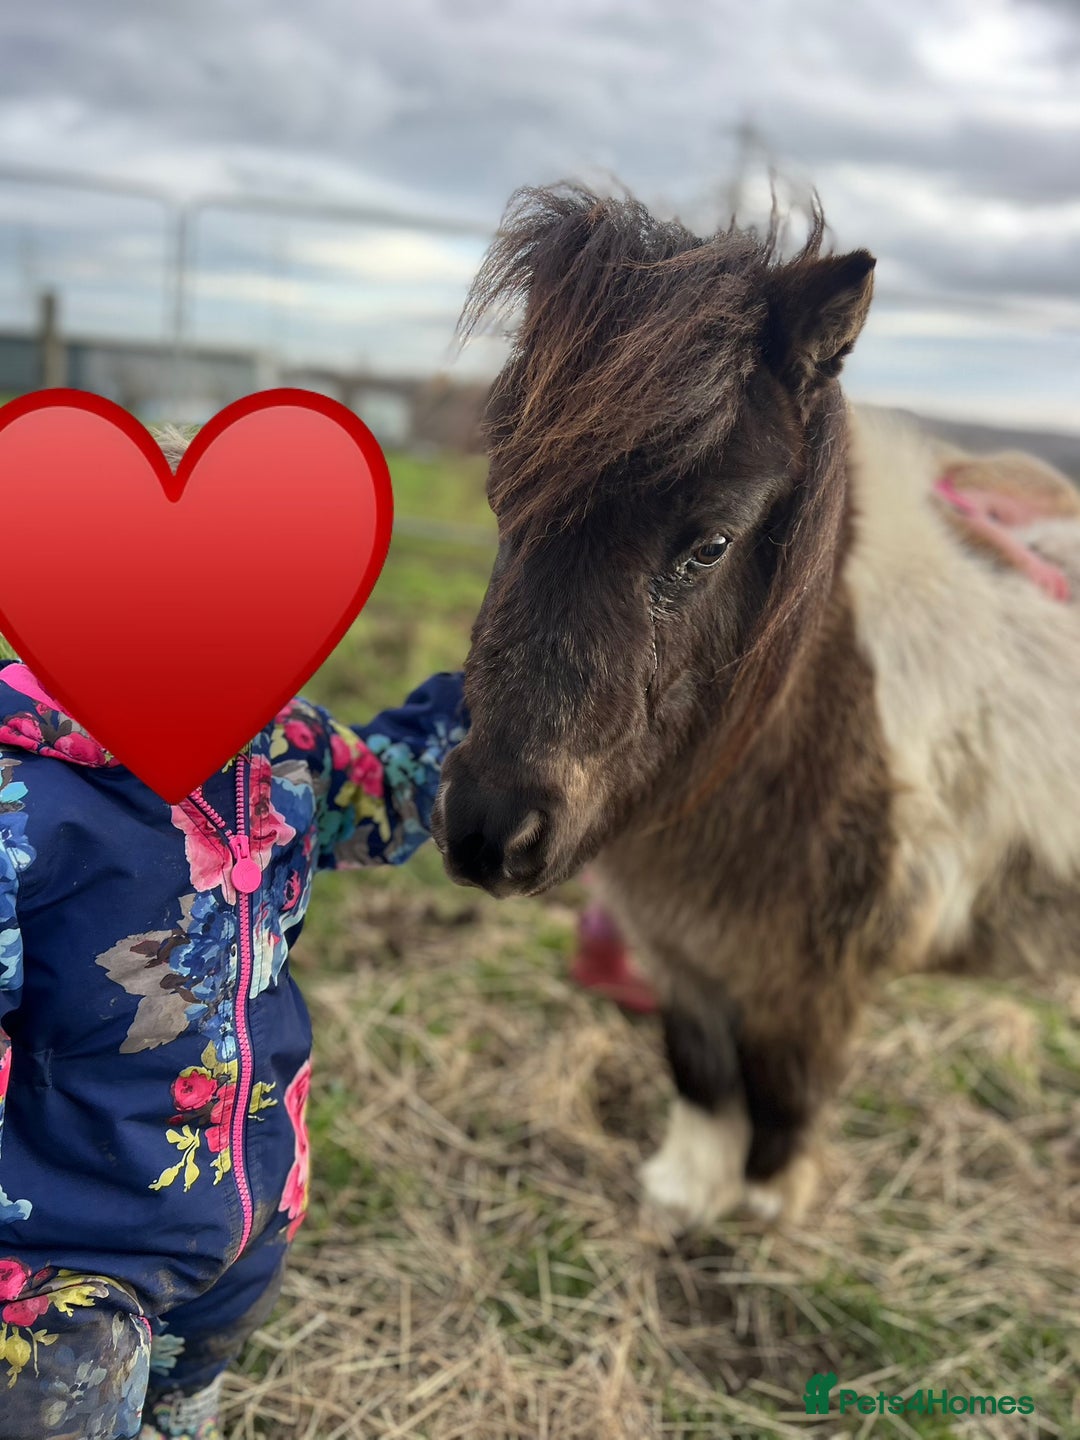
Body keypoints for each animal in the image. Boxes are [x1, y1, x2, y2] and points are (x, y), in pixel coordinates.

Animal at [430, 183, 1080, 1228]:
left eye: (711, 545)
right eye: (504, 502)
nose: (490, 831)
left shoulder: (806, 984)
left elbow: (780, 1094)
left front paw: (767, 1209)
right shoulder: (680, 951)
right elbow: (700, 1072)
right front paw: (685, 1194)